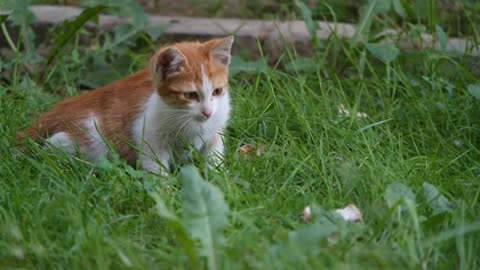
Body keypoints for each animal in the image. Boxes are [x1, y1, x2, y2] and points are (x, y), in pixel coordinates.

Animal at [17, 36, 235, 175]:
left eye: (217, 91)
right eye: (190, 95)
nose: (207, 112)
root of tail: (59, 108)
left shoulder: (216, 130)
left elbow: (214, 154)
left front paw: (218, 177)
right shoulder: (147, 134)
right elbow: (155, 166)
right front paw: (165, 193)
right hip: (87, 138)